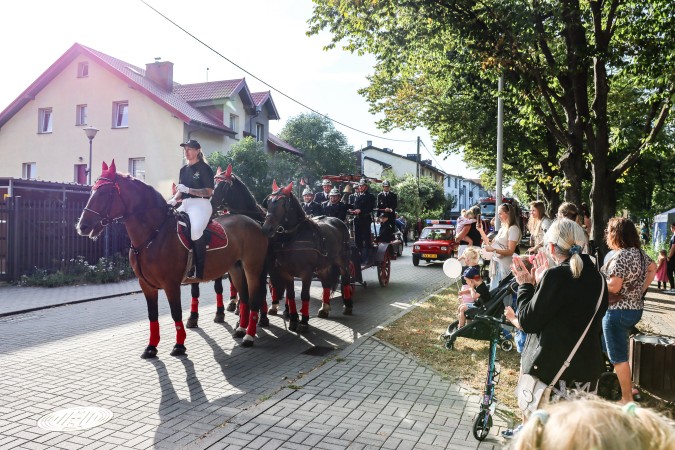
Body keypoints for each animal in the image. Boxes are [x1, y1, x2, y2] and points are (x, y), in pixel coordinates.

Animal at [76, 160, 270, 356]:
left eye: (104, 193)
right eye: (92, 191)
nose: (82, 226)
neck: (154, 234)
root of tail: (254, 222)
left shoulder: (171, 284)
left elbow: (176, 313)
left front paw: (179, 345)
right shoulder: (145, 284)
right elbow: (152, 315)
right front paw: (151, 347)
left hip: (252, 269)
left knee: (255, 297)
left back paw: (249, 335)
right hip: (235, 269)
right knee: (244, 297)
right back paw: (241, 329)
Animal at [262, 179, 354, 330]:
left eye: (283, 204)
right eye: (268, 202)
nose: (266, 229)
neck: (294, 236)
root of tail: (338, 221)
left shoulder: (306, 272)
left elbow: (305, 295)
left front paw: (304, 321)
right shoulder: (286, 272)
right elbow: (291, 295)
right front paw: (293, 319)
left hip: (342, 261)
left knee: (346, 279)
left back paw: (348, 306)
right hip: (324, 265)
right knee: (326, 283)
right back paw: (324, 308)